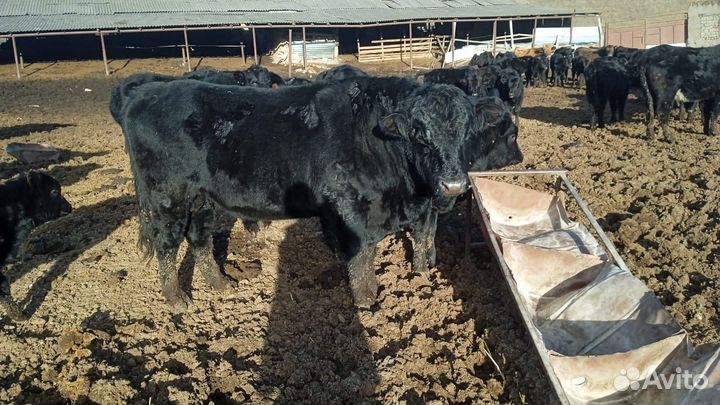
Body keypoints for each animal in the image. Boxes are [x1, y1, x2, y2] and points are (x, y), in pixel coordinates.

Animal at [112, 76, 522, 312]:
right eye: (420, 132)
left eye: (467, 130)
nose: (453, 185)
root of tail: (147, 91)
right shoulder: (353, 206)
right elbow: (363, 254)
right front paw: (366, 299)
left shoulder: (421, 206)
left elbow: (425, 238)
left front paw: (424, 275)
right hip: (167, 196)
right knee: (167, 244)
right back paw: (177, 301)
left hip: (203, 199)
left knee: (198, 238)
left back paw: (219, 284)